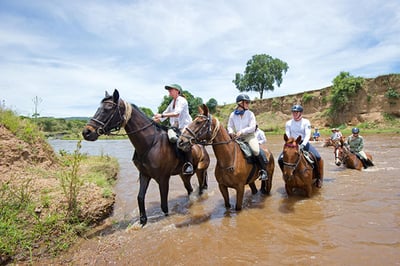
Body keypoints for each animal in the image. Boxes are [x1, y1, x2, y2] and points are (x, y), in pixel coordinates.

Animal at [81, 90, 209, 225]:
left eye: (108, 109)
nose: (86, 132)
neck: (150, 144)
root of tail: (202, 145)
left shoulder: (163, 178)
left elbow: (164, 205)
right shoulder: (144, 175)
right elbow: (140, 197)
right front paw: (143, 221)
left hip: (200, 171)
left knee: (201, 187)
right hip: (183, 175)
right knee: (190, 189)